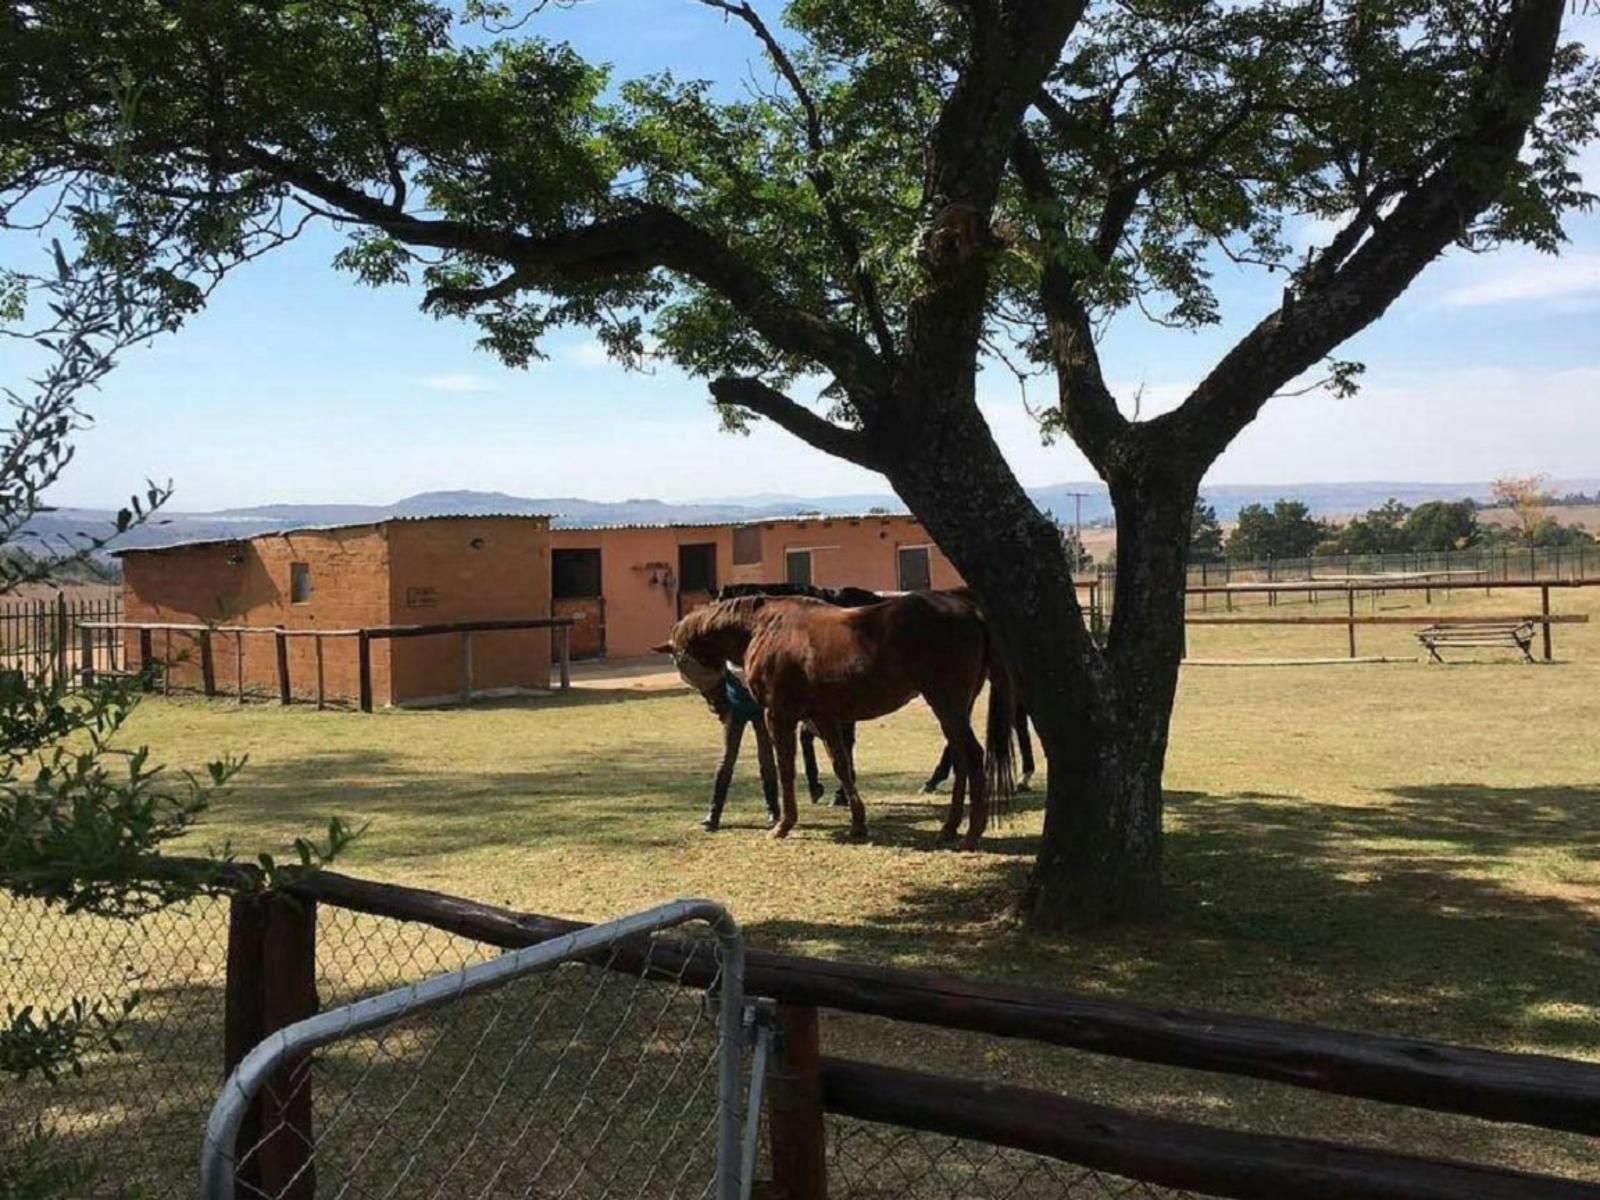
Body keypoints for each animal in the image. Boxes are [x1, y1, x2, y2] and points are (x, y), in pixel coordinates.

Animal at [659, 588, 1011, 844]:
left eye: (682, 663)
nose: (718, 707)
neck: (766, 627)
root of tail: (971, 610)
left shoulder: (779, 716)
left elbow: (786, 768)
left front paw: (784, 824)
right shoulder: (824, 716)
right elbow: (840, 763)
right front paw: (857, 822)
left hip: (946, 703)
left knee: (972, 755)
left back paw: (968, 830)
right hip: (956, 708)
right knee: (961, 757)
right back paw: (953, 827)